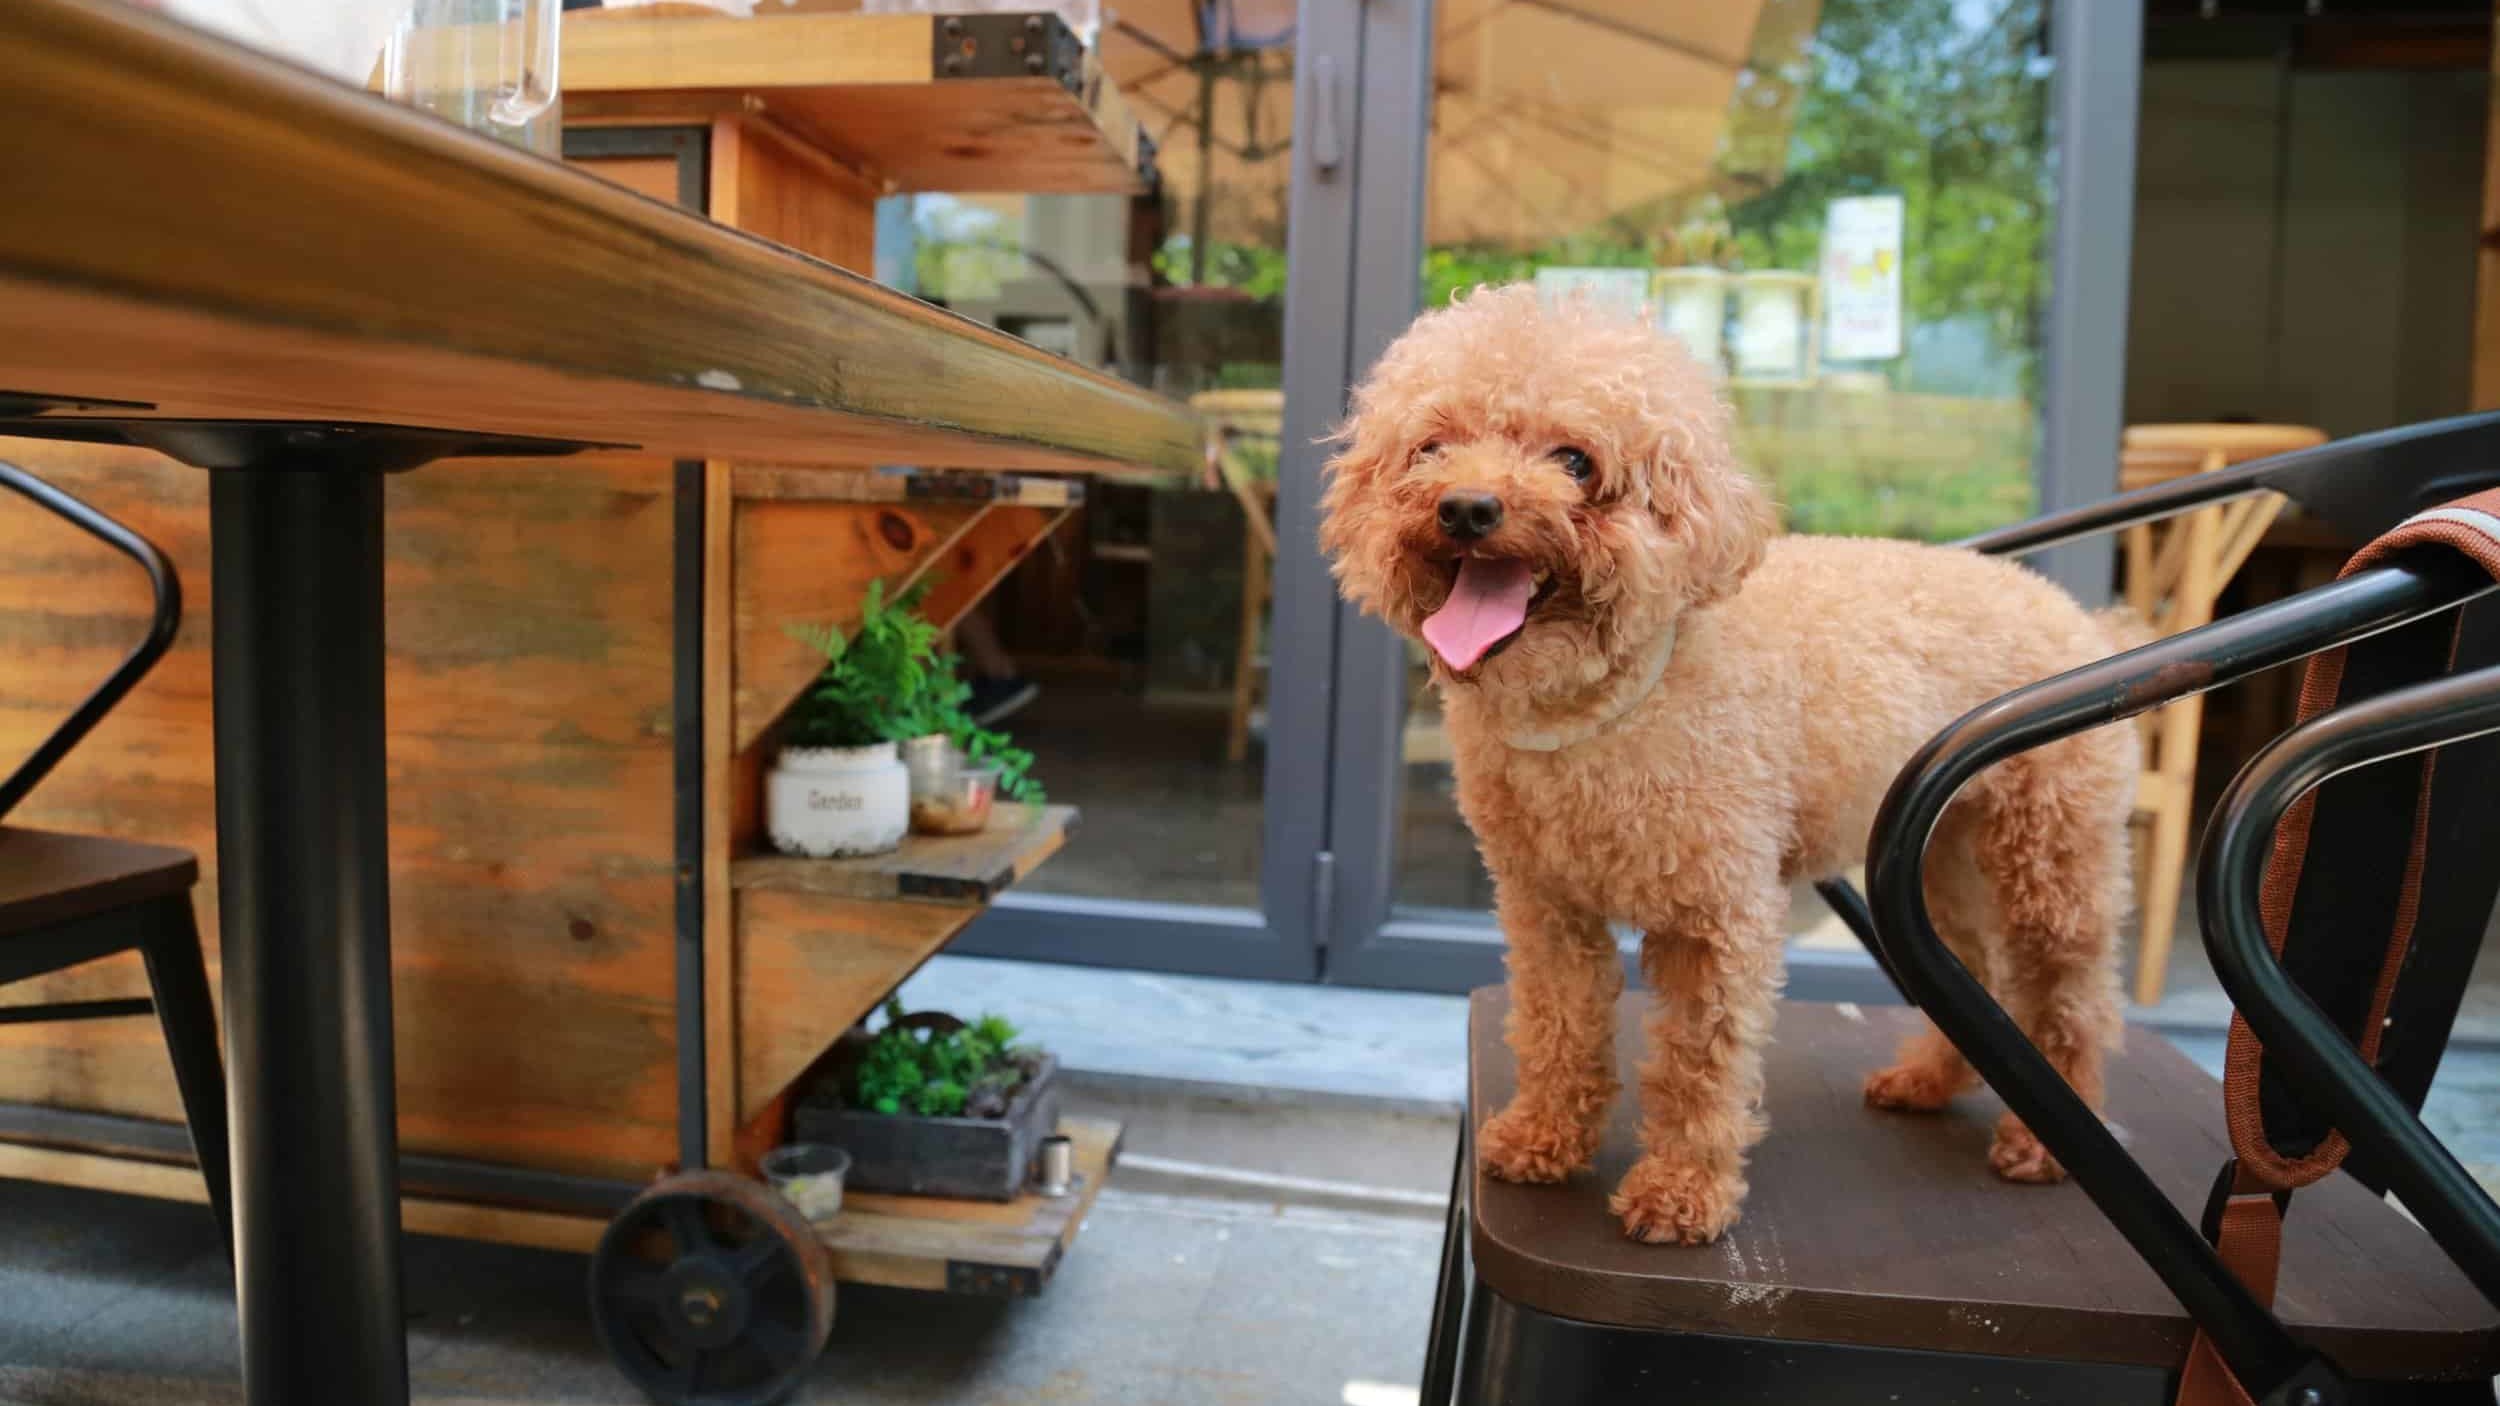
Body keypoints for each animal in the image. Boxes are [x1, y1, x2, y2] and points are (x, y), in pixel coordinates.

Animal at [1320, 285, 2140, 1235]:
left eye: (1574, 460)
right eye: (1432, 448)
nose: (1466, 508)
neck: (1599, 708)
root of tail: (2080, 618)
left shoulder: (1715, 915)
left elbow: (1697, 1063)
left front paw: (1681, 1193)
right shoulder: (1546, 904)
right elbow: (1559, 1024)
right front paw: (1544, 1139)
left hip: (2052, 859)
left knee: (2069, 994)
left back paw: (2044, 1145)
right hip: (1946, 858)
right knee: (1974, 970)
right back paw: (1926, 1081)